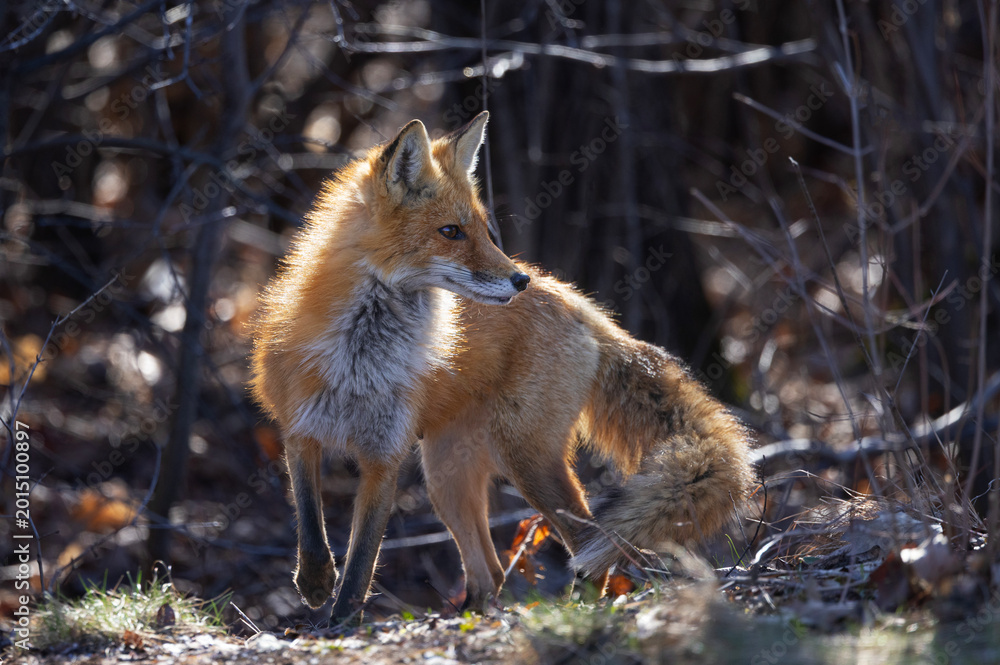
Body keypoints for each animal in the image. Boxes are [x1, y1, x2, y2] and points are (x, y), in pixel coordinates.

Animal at [250, 111, 755, 621]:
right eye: (451, 232)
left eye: (484, 229)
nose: (520, 280)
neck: (359, 359)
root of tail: (578, 301)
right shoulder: (299, 432)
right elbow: (310, 524)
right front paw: (315, 582)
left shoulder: (384, 454)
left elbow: (362, 561)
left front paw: (342, 619)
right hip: (446, 474)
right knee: (488, 573)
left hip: (523, 459)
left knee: (592, 540)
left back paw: (574, 610)